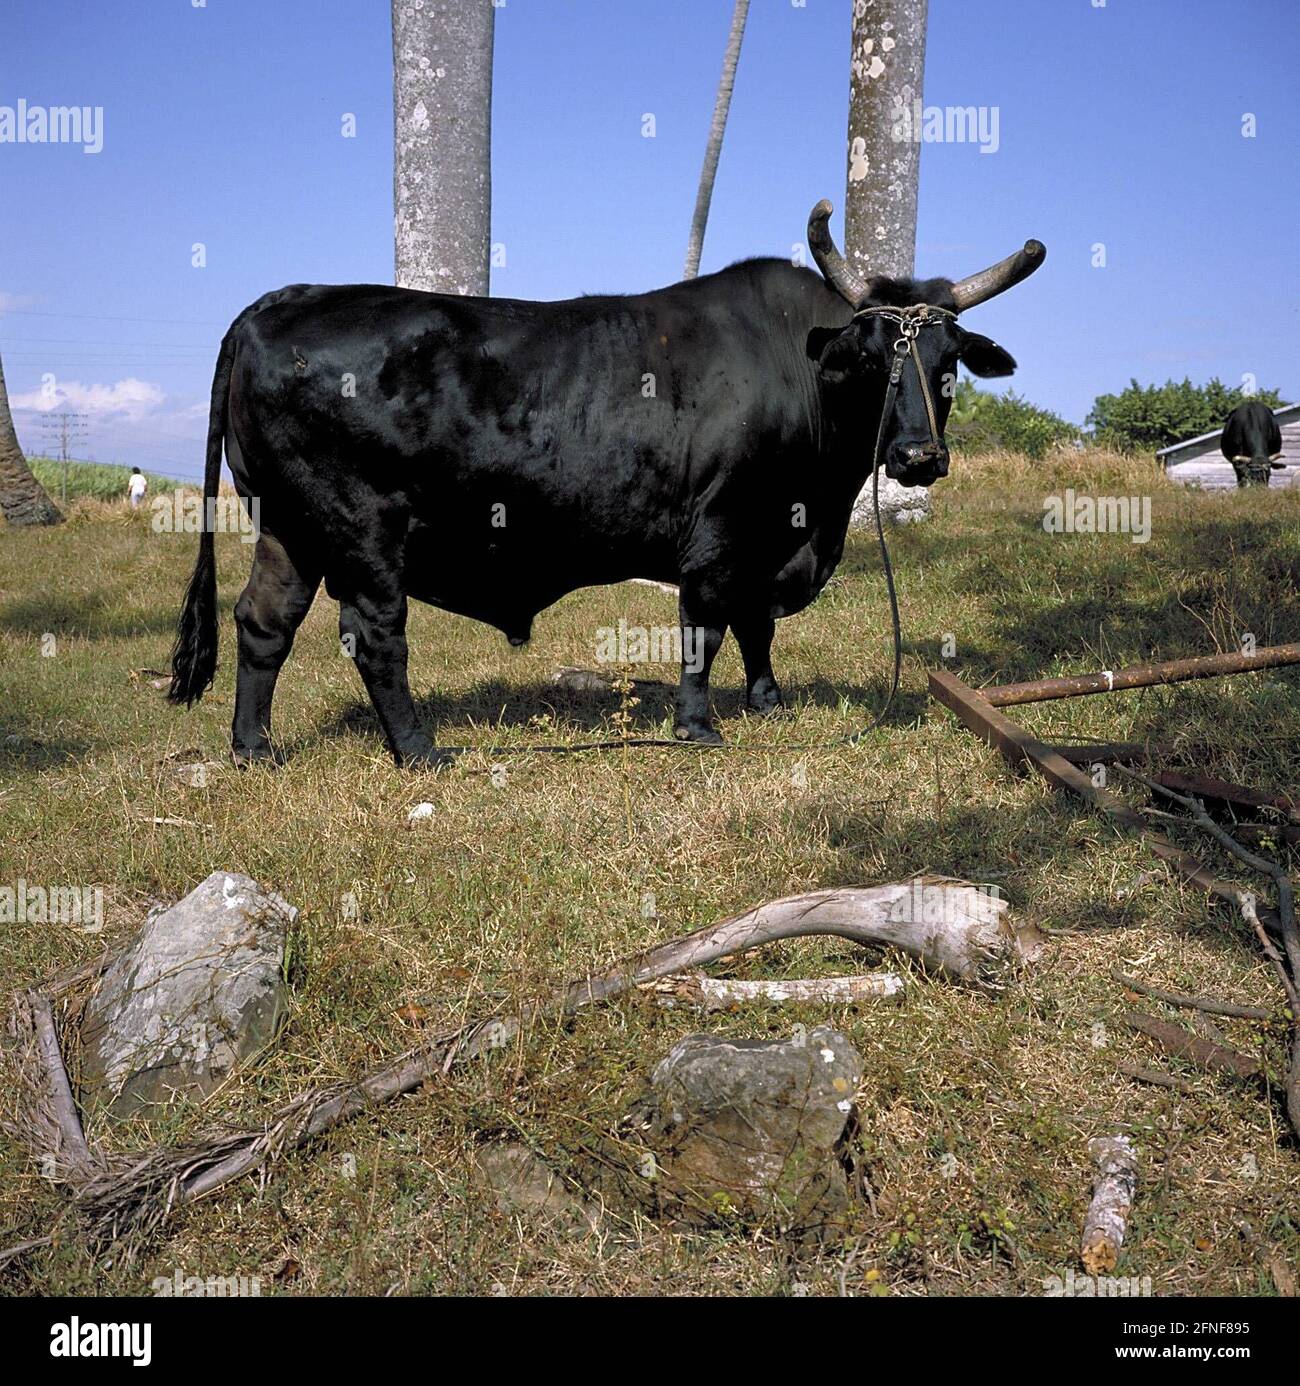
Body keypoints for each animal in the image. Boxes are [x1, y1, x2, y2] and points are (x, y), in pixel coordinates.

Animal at [172, 205, 1042, 770]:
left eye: (948, 362)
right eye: (868, 358)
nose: (919, 456)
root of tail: (278, 302)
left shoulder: (770, 538)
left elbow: (757, 628)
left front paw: (769, 702)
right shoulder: (723, 530)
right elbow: (707, 627)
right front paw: (697, 727)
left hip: (289, 526)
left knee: (263, 623)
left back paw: (254, 750)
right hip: (360, 526)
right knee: (374, 633)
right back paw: (420, 751)